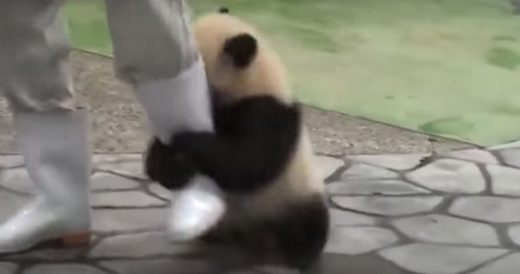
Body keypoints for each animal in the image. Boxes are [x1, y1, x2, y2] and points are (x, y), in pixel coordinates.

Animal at [144, 7, 328, 270]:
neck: (254, 80)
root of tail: (253, 234)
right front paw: (162, 156)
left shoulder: (268, 112)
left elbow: (245, 163)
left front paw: (185, 141)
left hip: (293, 194)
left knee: (309, 222)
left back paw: (299, 255)